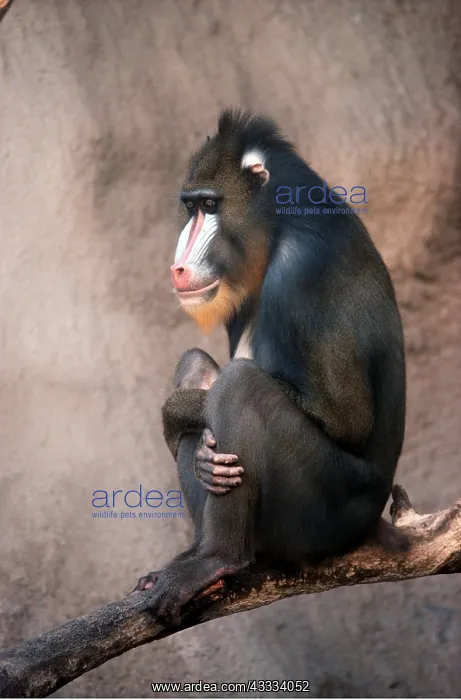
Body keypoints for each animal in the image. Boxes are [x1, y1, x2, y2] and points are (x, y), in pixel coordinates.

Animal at [134, 109, 407, 625]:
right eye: (191, 207)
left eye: (211, 205)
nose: (179, 269)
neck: (279, 227)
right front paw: (194, 443)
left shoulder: (303, 272)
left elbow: (347, 419)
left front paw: (180, 414)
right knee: (196, 362)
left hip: (325, 512)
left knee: (242, 386)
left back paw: (217, 559)